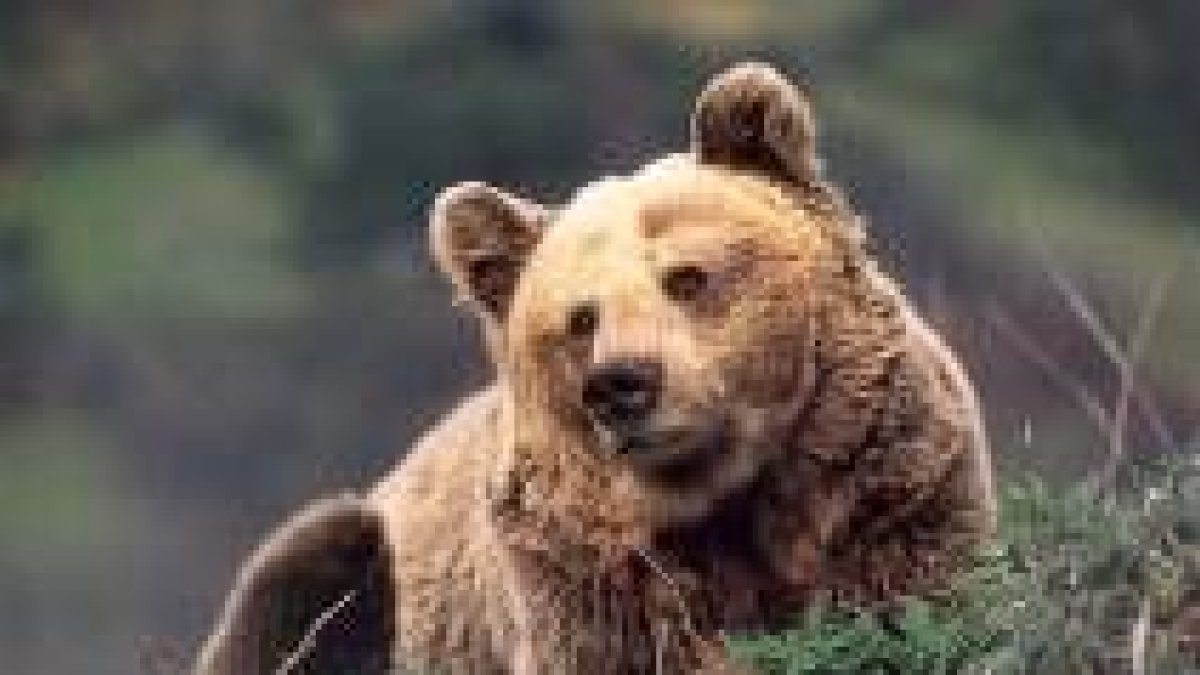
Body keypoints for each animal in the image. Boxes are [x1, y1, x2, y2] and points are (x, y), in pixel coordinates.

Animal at [192, 62, 996, 674]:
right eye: (579, 318)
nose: (622, 383)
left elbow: (913, 602)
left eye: (687, 276)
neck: (730, 504)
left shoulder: (892, 497)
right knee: (317, 551)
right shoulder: (586, 587)